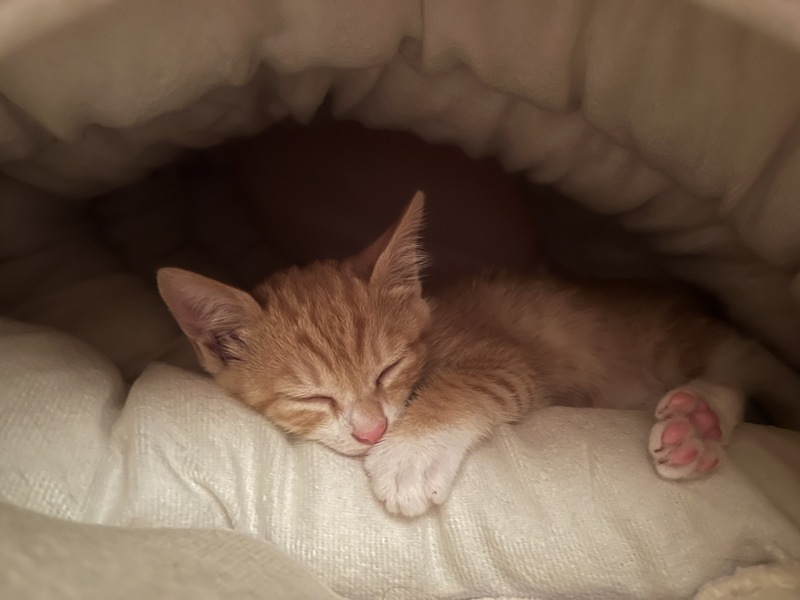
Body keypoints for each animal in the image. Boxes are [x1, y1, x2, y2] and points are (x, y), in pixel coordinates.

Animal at [157, 192, 800, 517]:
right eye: (311, 396)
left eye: (388, 369)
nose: (372, 433)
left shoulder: (505, 358)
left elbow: (465, 386)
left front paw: (408, 456)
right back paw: (697, 424)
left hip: (678, 336)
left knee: (752, 367)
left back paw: (703, 416)